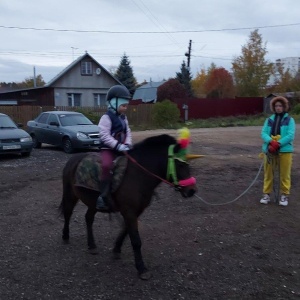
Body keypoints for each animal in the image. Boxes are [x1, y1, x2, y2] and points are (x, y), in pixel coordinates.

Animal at [60, 134, 197, 278]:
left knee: (88, 218)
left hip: (92, 202)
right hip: (70, 195)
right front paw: (141, 268)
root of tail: (73, 159)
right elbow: (136, 240)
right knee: (68, 213)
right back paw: (65, 236)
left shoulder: (135, 211)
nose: (191, 190)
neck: (138, 175)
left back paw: (92, 246)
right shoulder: (129, 211)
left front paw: (116, 249)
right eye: (179, 163)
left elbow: (125, 230)